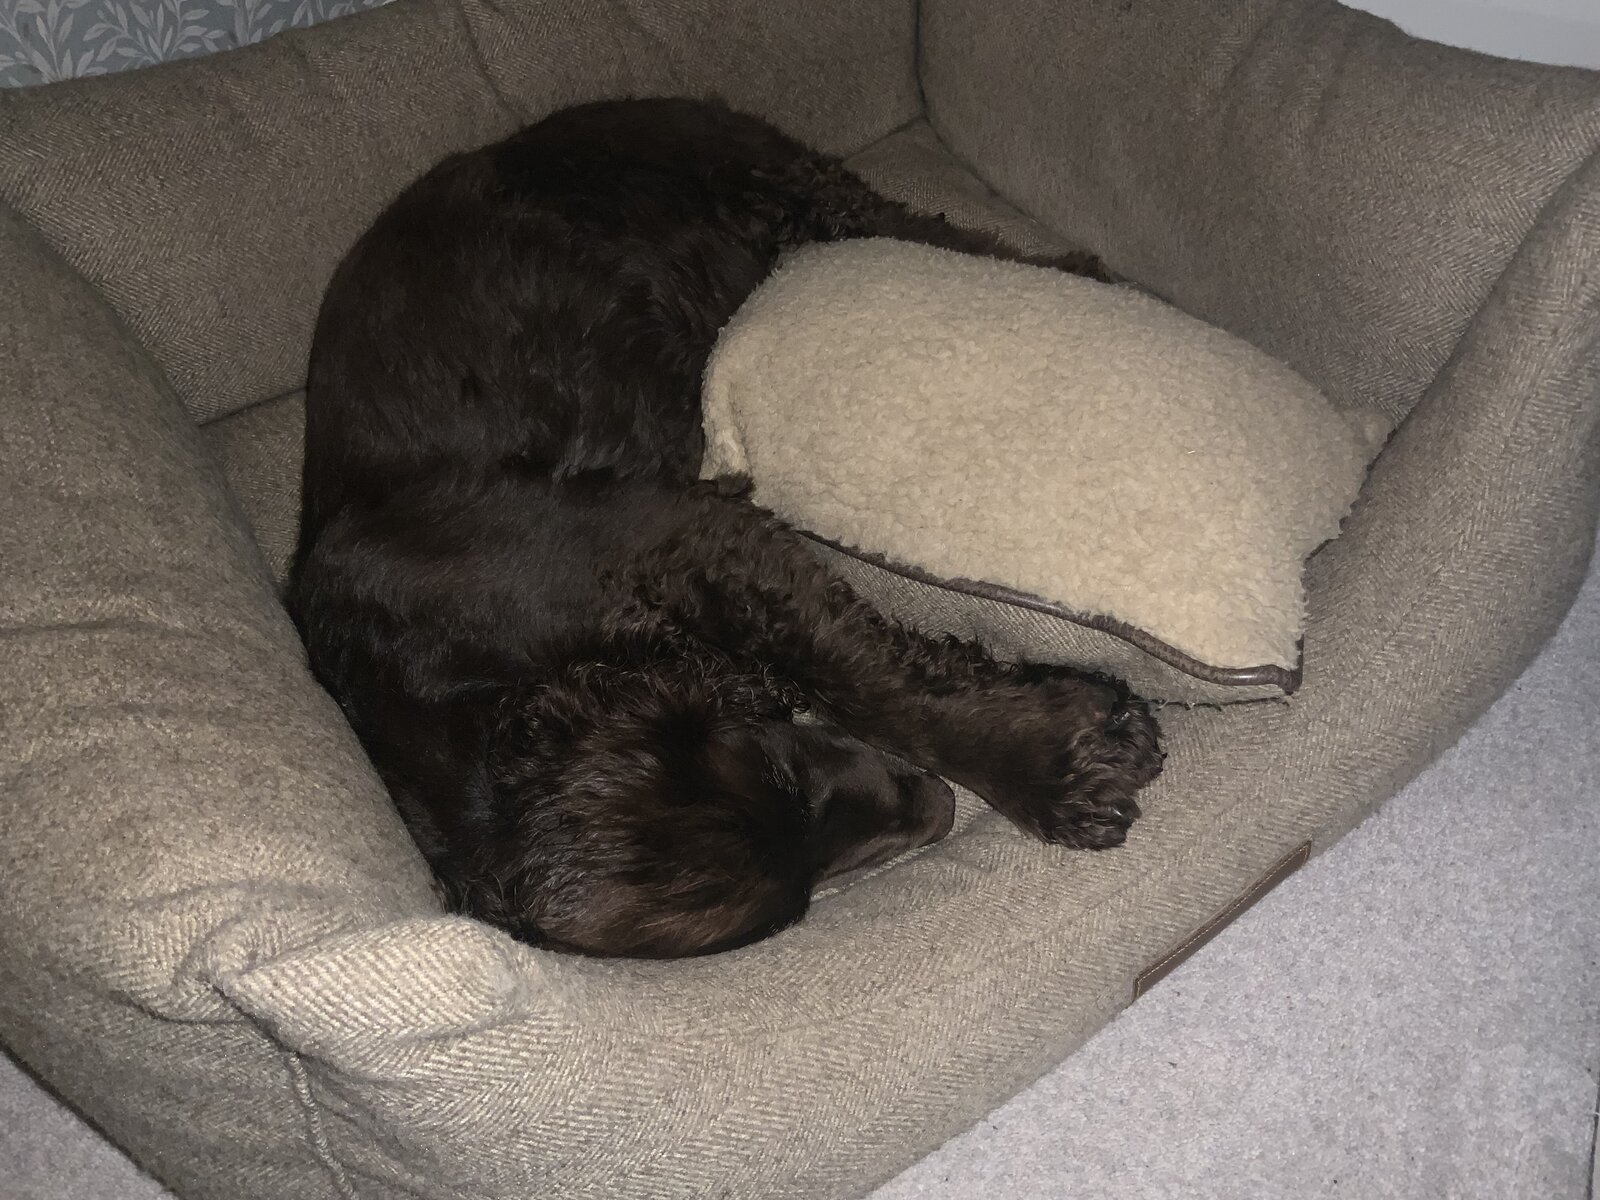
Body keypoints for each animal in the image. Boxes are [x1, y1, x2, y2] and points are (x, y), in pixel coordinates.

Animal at [287, 97, 1163, 959]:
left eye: (783, 771)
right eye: (797, 903)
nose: (937, 809)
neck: (448, 682)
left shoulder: (677, 533)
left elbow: (870, 684)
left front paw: (1042, 766)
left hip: (772, 182)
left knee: (921, 233)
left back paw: (1081, 280)